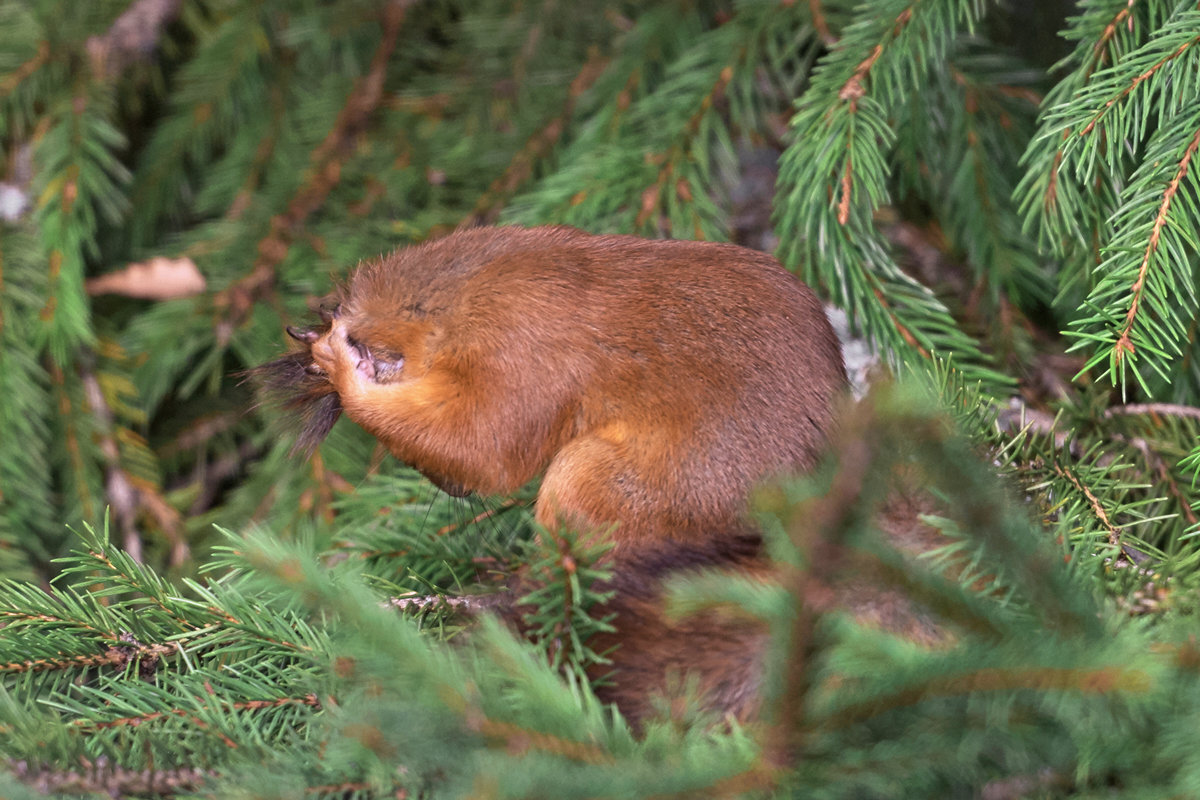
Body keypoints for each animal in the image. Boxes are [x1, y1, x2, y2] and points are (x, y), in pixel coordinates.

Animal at [258, 224, 849, 724]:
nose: (450, 489)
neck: (462, 295)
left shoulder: (519, 350)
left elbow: (484, 444)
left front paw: (338, 361)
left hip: (606, 490)